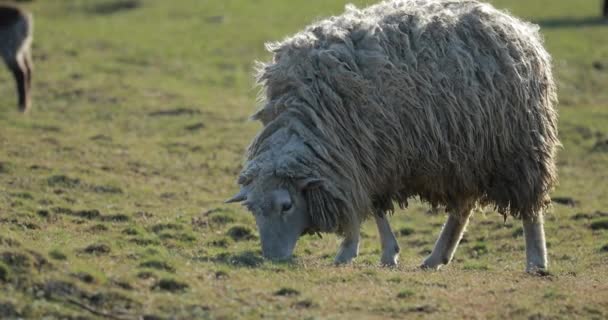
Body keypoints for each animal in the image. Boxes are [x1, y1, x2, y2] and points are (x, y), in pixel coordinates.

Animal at [228, 0, 560, 274]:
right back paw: (436, 258)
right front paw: (380, 252)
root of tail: (515, 25)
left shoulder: (364, 156)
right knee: (462, 209)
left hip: (518, 146)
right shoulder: (361, 161)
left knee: (530, 208)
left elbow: (360, 208)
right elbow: (371, 207)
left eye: (286, 206)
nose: (273, 259)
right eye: (253, 210)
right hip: (465, 153)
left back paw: (536, 261)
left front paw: (352, 252)